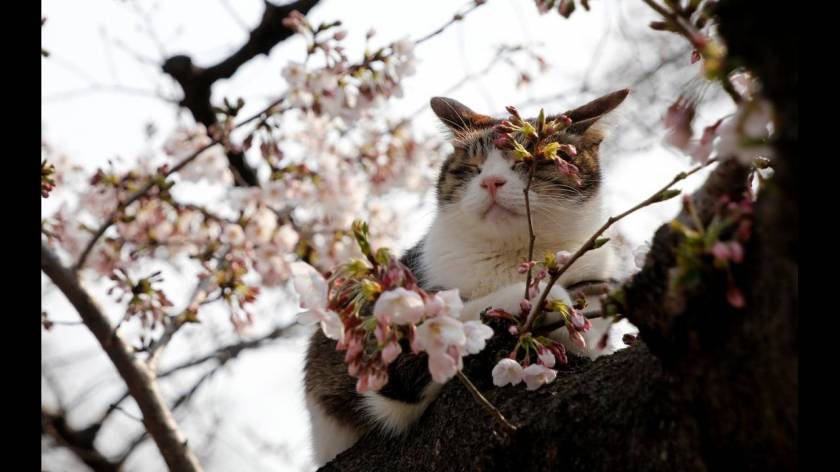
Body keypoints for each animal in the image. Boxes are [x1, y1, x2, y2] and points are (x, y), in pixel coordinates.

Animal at [306, 87, 632, 464]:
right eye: (472, 168)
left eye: (530, 161)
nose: (490, 182)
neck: (513, 256)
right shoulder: (389, 362)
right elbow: (453, 318)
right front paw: (545, 300)